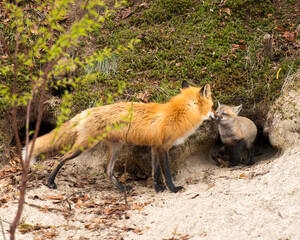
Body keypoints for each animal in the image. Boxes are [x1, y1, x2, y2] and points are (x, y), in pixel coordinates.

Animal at [24, 81, 214, 193]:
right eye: (212, 106)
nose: (217, 114)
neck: (176, 114)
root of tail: (85, 111)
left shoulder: (154, 147)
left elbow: (155, 172)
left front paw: (158, 188)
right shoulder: (162, 147)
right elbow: (166, 172)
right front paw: (172, 188)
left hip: (116, 147)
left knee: (107, 171)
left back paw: (122, 189)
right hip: (83, 146)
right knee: (61, 159)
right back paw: (50, 182)